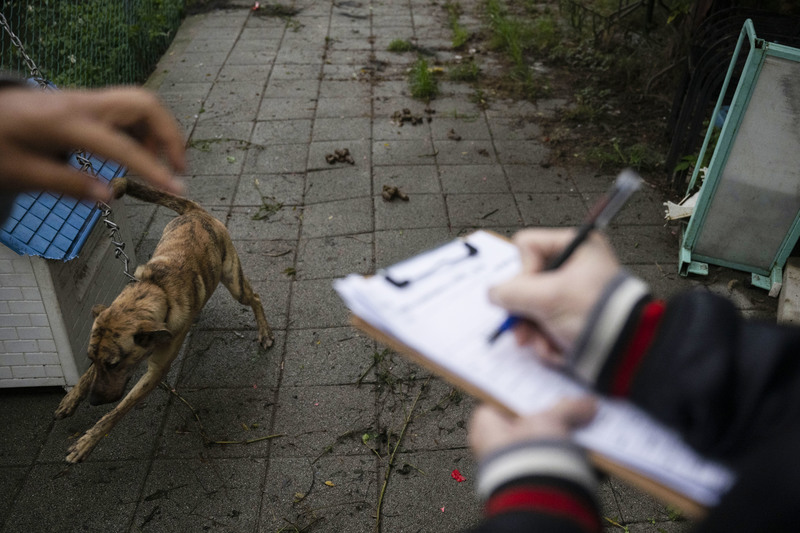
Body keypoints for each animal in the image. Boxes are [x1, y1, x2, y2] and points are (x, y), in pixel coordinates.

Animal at [54, 178, 272, 462]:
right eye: (91, 359)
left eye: (114, 365)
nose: (93, 401)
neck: (157, 290)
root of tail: (195, 211)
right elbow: (87, 377)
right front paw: (71, 399)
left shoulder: (155, 371)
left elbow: (116, 412)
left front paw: (87, 442)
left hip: (234, 282)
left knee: (255, 297)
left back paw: (265, 333)